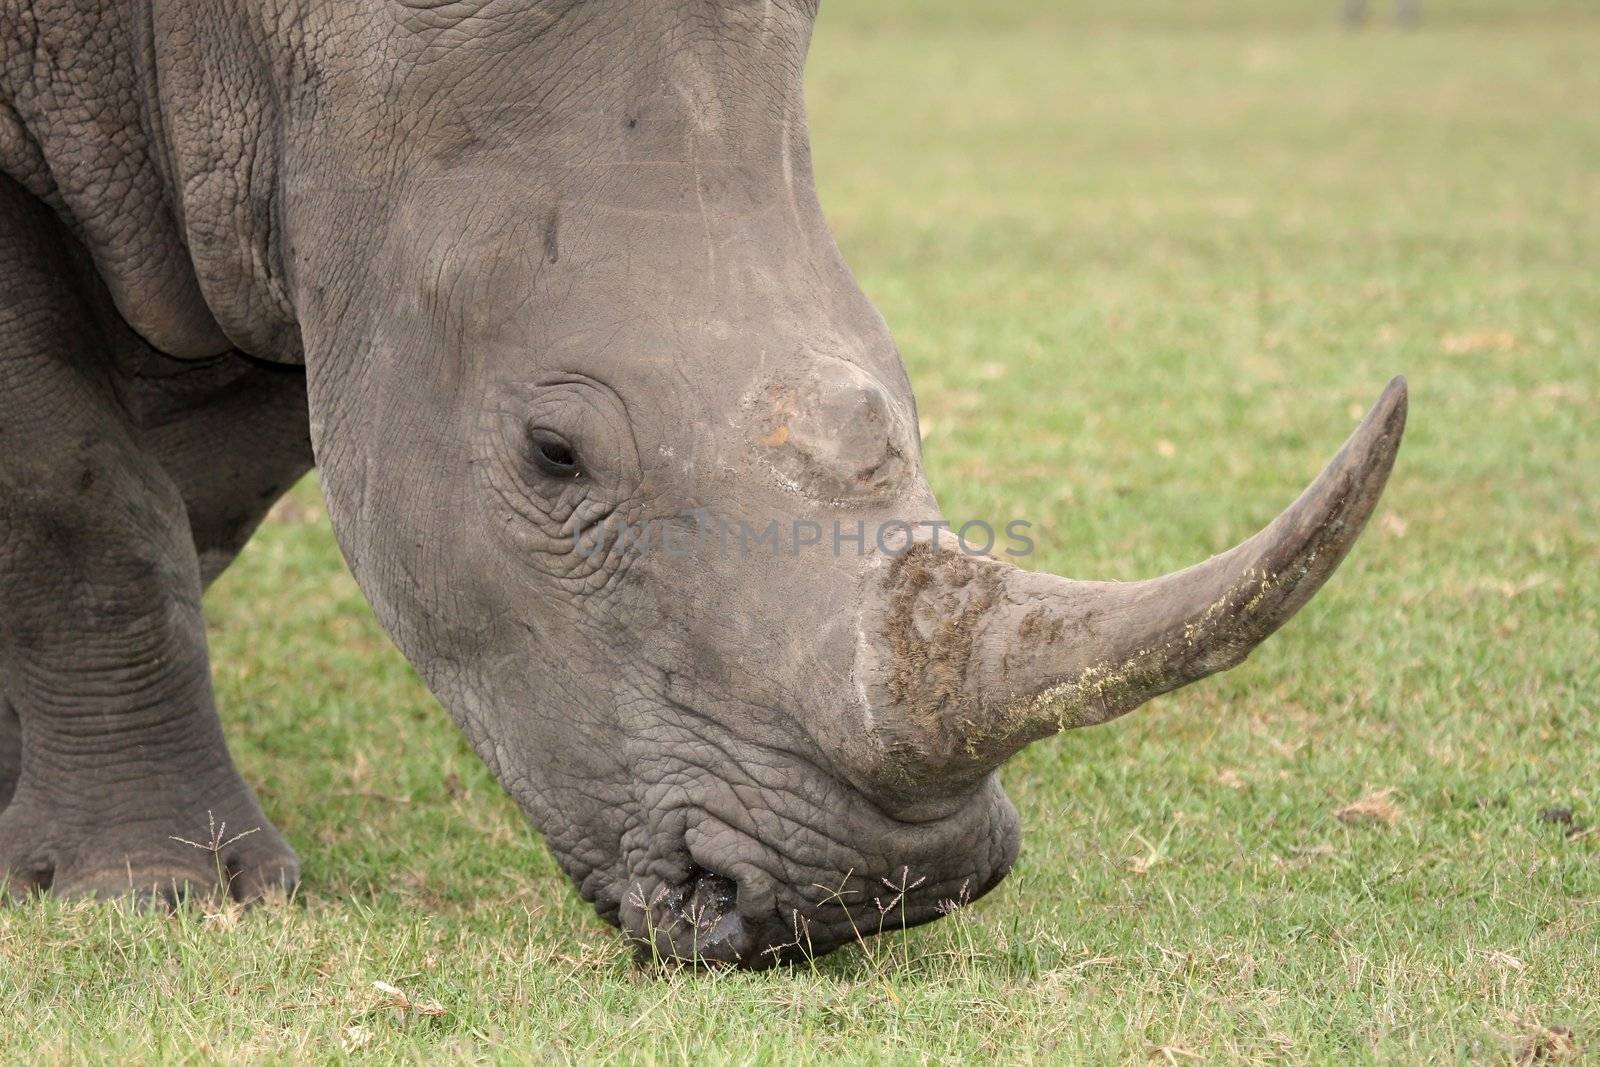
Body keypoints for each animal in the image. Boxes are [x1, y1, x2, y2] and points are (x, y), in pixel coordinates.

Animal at [0, 2, 1401, 966]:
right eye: (553, 453)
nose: (874, 893)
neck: (252, 45)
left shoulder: (270, 229)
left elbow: (196, 502)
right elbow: (85, 497)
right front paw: (166, 892)